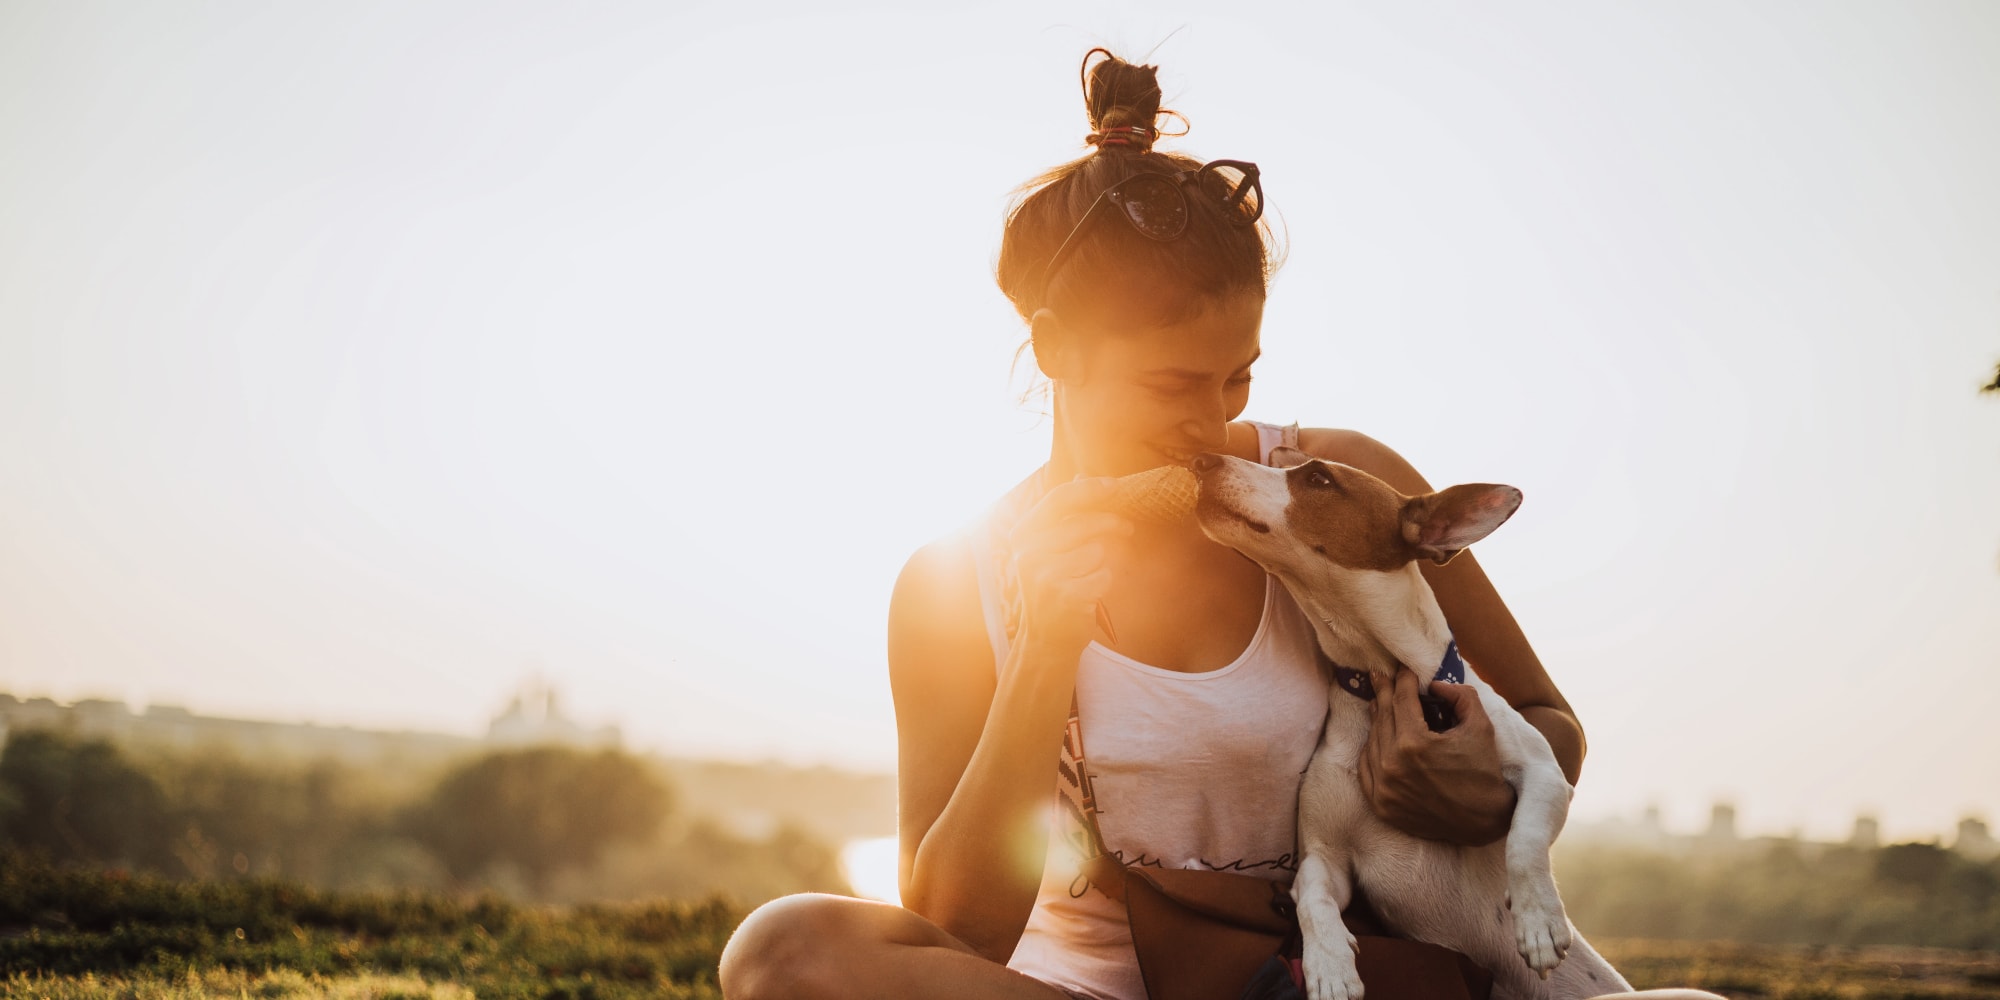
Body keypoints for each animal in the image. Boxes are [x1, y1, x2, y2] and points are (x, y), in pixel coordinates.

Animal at [1192, 452, 1632, 1000]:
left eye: (1318, 477)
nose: (1202, 460)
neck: (1390, 675)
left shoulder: (1544, 774)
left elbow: (1525, 840)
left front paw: (1538, 920)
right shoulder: (1325, 858)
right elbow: (1312, 899)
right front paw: (1329, 965)